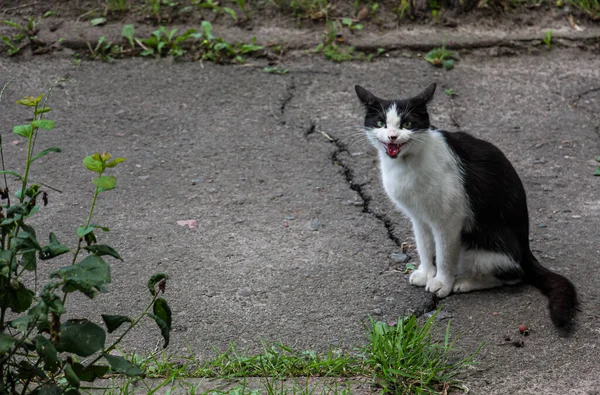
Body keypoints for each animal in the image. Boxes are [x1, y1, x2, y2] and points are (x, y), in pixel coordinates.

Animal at [356, 82, 576, 332]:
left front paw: (441, 283)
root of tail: (526, 251)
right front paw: (425, 272)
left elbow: (444, 255)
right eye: (380, 123)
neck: (407, 165)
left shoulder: (448, 222)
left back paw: (465, 282)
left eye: (408, 124)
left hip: (481, 244)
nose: (392, 136)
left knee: (514, 274)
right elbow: (424, 246)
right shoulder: (418, 218)